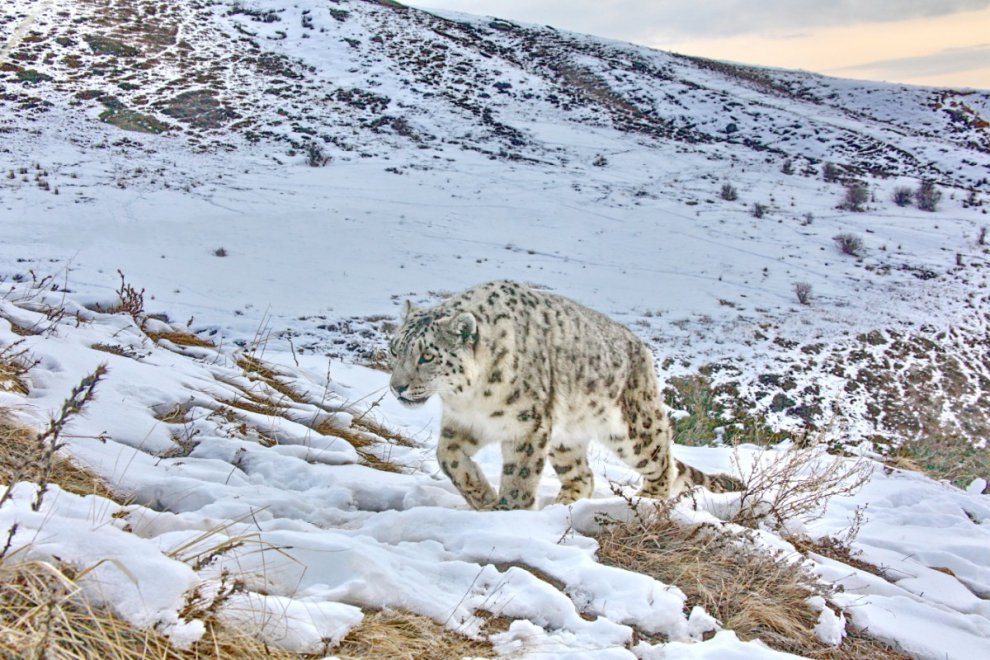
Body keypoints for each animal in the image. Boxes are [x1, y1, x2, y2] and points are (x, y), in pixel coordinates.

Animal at [392, 278, 740, 510]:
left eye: (426, 356)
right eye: (395, 349)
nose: (397, 387)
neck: (472, 400)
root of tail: (640, 346)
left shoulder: (528, 425)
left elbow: (519, 476)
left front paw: (507, 514)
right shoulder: (462, 423)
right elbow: (448, 458)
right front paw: (484, 498)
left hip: (633, 429)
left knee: (662, 458)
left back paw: (647, 503)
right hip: (565, 438)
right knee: (583, 475)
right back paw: (561, 506)